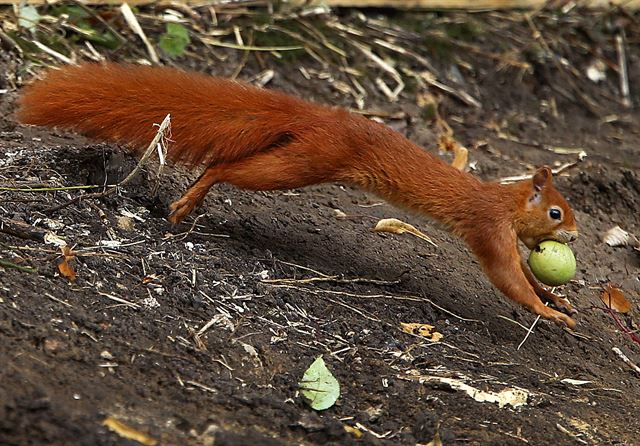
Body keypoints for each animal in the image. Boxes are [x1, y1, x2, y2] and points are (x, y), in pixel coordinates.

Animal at [18, 62, 580, 328]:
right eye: (558, 212)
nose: (575, 234)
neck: (504, 203)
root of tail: (322, 117)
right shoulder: (488, 229)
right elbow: (508, 279)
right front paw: (550, 313)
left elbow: (525, 272)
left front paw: (556, 297)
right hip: (302, 163)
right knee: (224, 167)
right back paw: (188, 201)